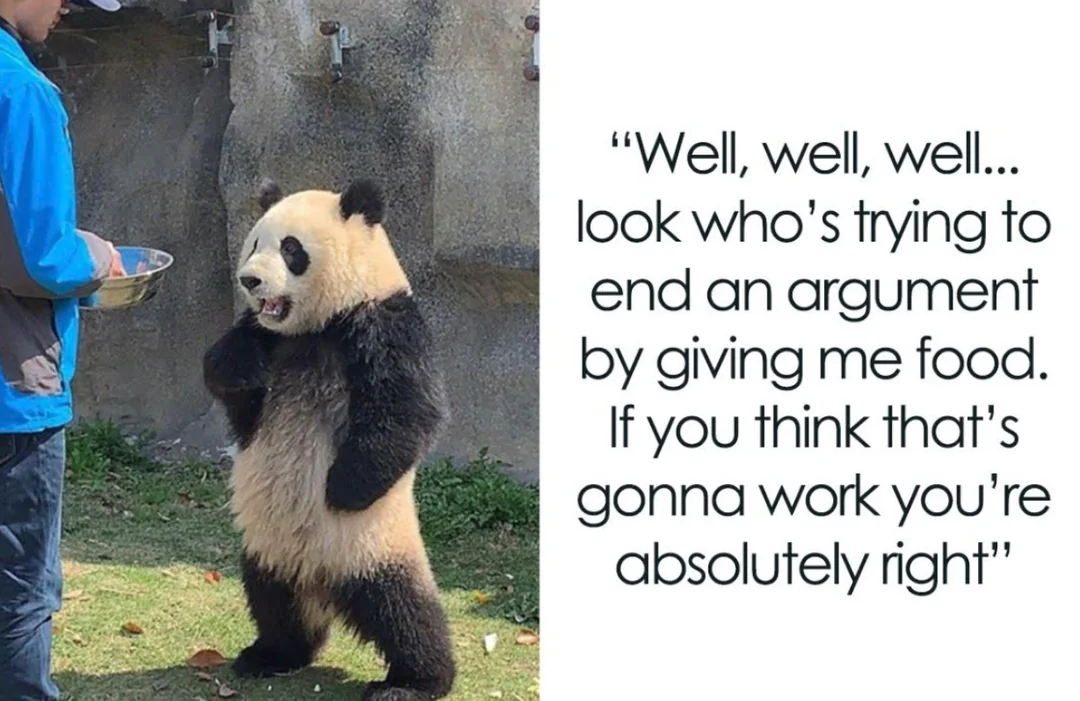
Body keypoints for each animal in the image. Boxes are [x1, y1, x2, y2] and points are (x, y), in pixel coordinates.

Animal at [201, 177, 456, 701]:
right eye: (254, 244)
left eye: (290, 249)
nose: (250, 281)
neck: (318, 325)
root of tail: (322, 581)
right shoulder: (270, 338)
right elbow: (239, 398)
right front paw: (241, 365)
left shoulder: (383, 321)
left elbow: (408, 410)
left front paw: (343, 488)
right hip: (267, 546)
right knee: (272, 600)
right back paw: (272, 655)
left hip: (373, 546)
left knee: (404, 611)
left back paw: (415, 682)